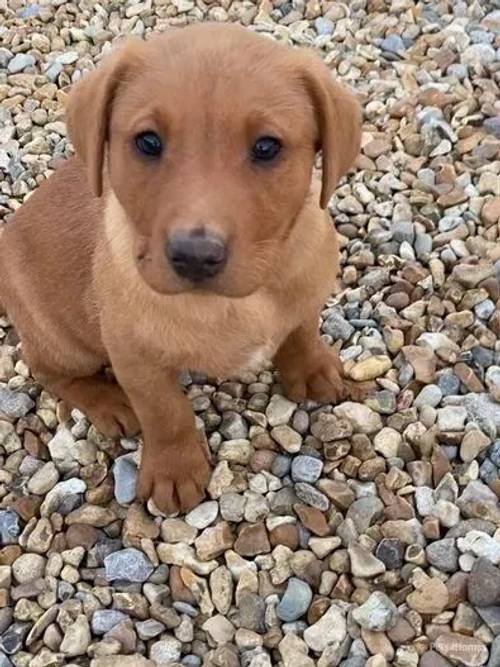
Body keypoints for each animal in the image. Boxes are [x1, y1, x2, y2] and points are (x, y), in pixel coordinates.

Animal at [0, 23, 368, 516]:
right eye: (148, 142)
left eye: (267, 147)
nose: (195, 256)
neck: (240, 300)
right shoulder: (136, 357)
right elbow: (166, 412)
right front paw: (174, 471)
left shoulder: (306, 290)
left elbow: (302, 332)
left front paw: (313, 371)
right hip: (63, 338)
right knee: (47, 369)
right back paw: (107, 401)